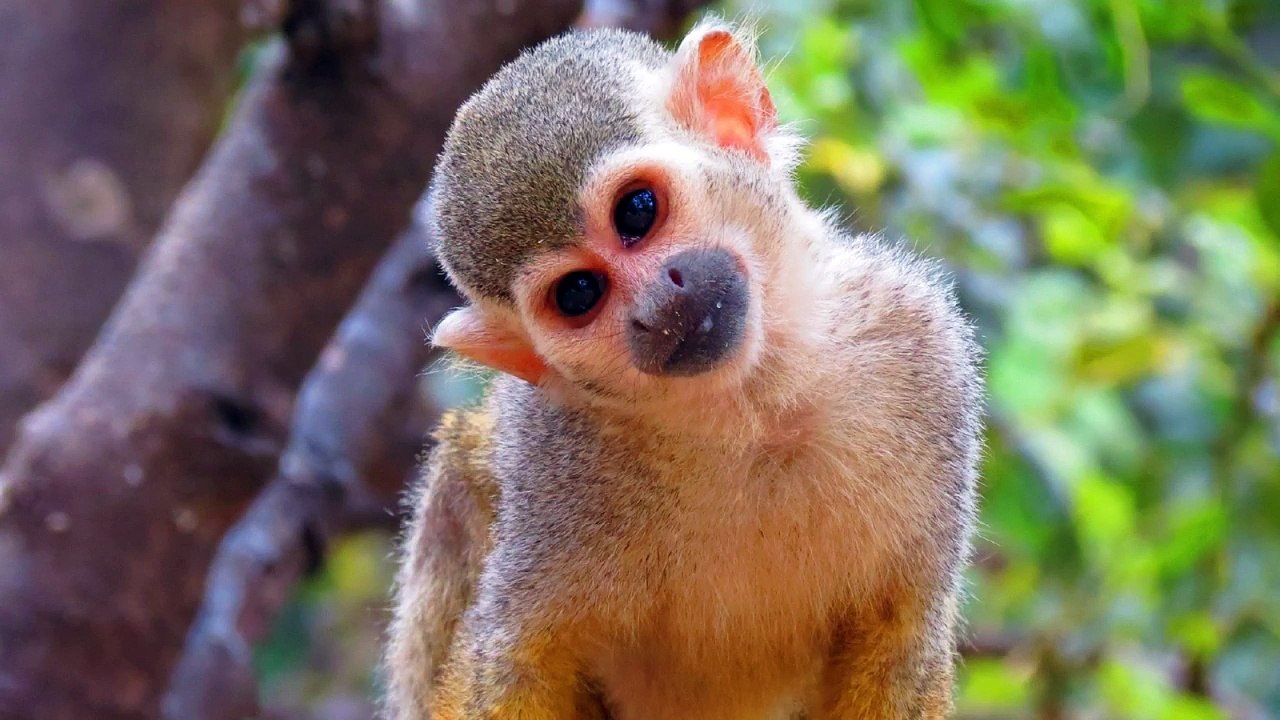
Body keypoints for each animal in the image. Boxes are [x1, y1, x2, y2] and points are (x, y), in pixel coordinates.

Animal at [384, 19, 982, 720]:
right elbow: (513, 660)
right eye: (579, 294)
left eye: (638, 211)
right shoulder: (551, 461)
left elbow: (901, 639)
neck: (751, 413)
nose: (656, 306)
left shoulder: (921, 351)